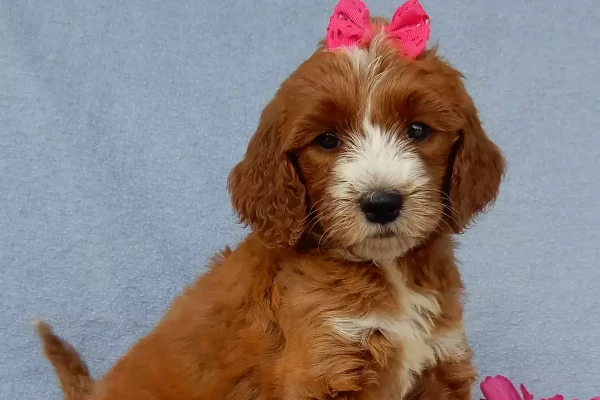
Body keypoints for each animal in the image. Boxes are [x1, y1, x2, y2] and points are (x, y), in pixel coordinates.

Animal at [37, 1, 504, 398]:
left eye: (418, 130)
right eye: (327, 140)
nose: (381, 203)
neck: (387, 271)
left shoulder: (440, 365)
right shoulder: (321, 370)